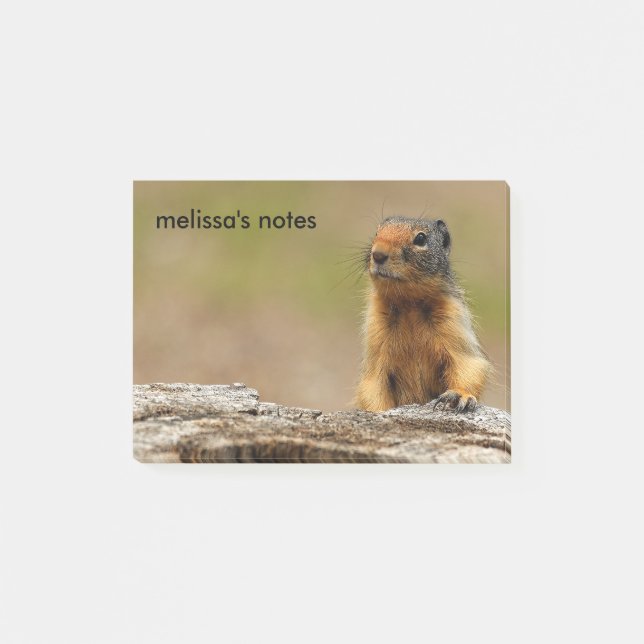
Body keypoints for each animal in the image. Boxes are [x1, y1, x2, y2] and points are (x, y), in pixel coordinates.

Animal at [355, 216, 491, 413]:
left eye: (420, 238)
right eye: (376, 232)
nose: (378, 254)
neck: (409, 305)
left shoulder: (454, 322)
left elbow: (468, 365)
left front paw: (458, 396)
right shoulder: (376, 335)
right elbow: (372, 385)